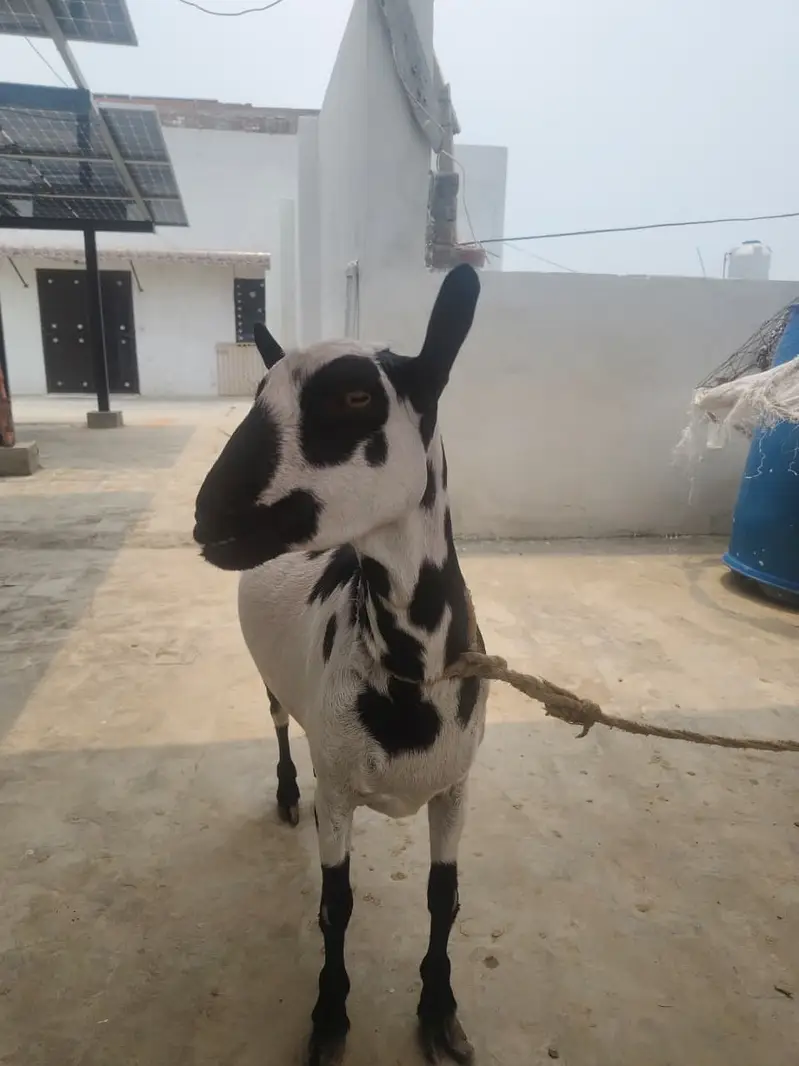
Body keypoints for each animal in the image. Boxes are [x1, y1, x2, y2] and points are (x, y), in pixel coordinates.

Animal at [193, 265, 489, 1065]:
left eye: (356, 396)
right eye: (259, 395)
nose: (207, 515)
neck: (410, 673)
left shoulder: (456, 788)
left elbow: (443, 897)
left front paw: (439, 1009)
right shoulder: (341, 789)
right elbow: (336, 904)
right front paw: (328, 1017)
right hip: (271, 685)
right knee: (277, 721)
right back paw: (285, 792)